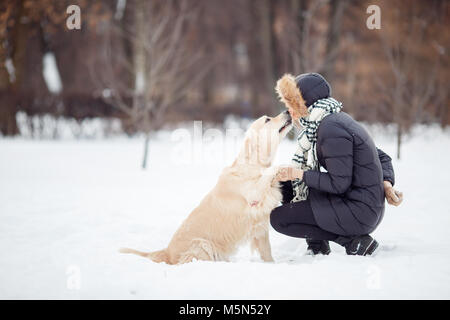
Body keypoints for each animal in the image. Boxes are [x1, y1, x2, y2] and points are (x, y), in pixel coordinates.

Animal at [119, 111, 294, 264]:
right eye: (267, 120)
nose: (287, 111)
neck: (253, 164)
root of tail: (167, 252)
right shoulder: (253, 197)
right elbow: (267, 174)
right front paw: (282, 167)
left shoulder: (260, 225)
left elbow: (266, 251)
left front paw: (271, 264)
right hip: (202, 244)